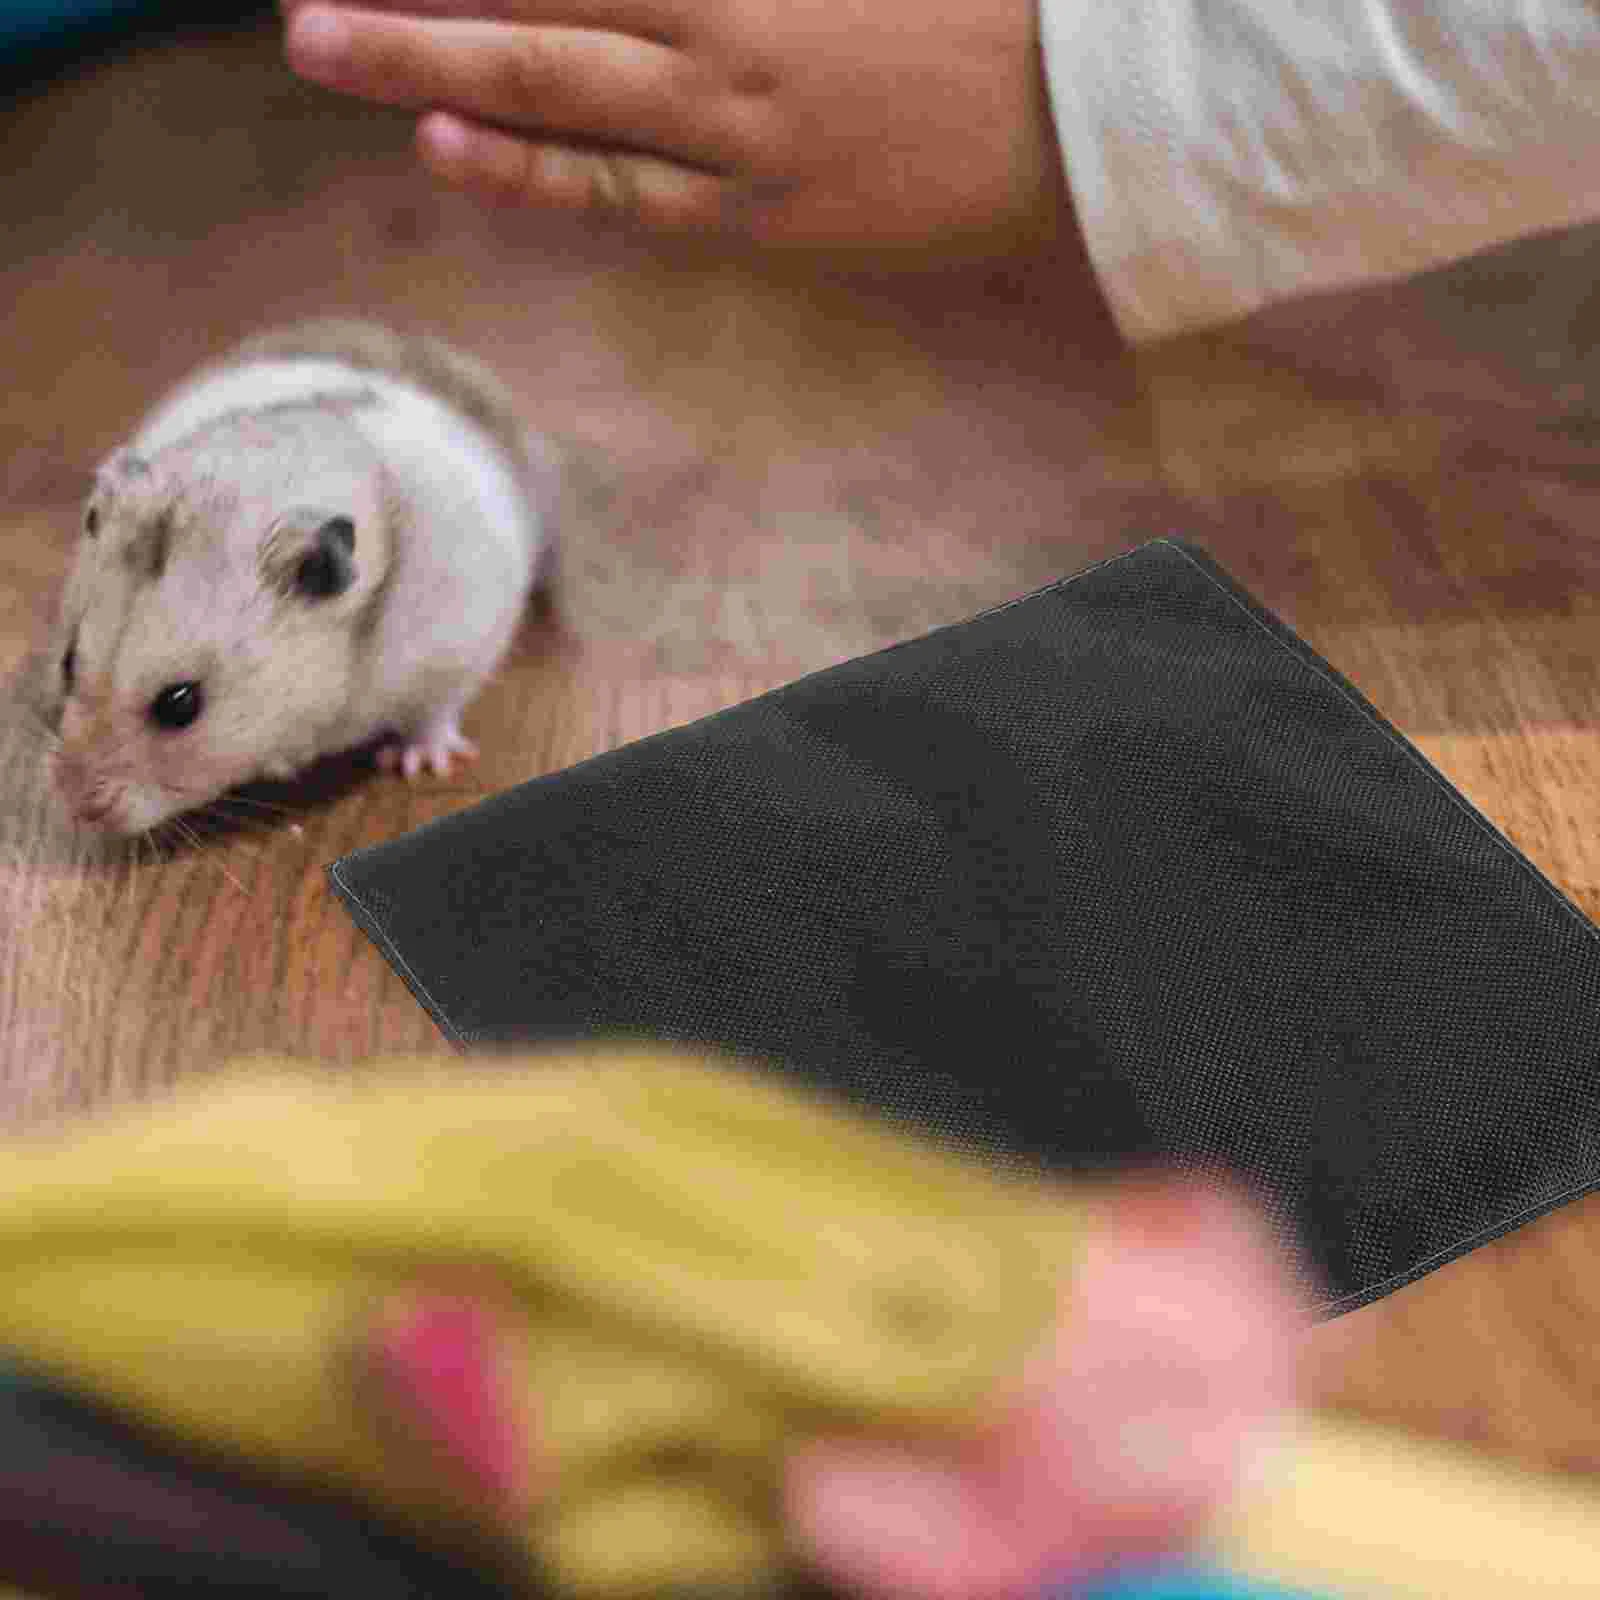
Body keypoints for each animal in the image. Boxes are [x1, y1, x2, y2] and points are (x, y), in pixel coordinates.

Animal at [48, 320, 558, 835]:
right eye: (68, 663)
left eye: (180, 704)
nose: (77, 806)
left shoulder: (460, 649)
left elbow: (436, 712)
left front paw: (418, 764)